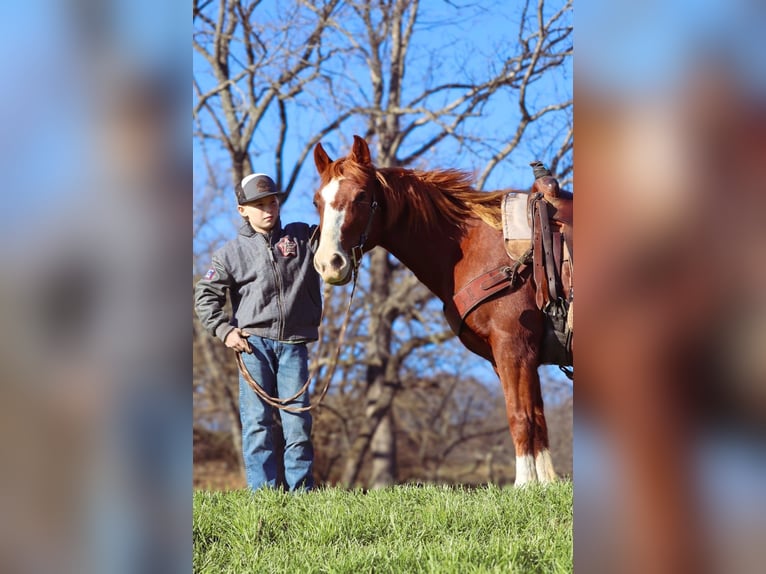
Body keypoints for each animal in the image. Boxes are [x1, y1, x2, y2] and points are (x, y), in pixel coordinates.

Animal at [312, 135, 570, 484]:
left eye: (362, 196)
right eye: (317, 201)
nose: (329, 263)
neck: (475, 248)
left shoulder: (513, 347)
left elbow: (520, 415)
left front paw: (524, 484)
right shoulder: (512, 358)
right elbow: (537, 418)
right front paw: (543, 484)